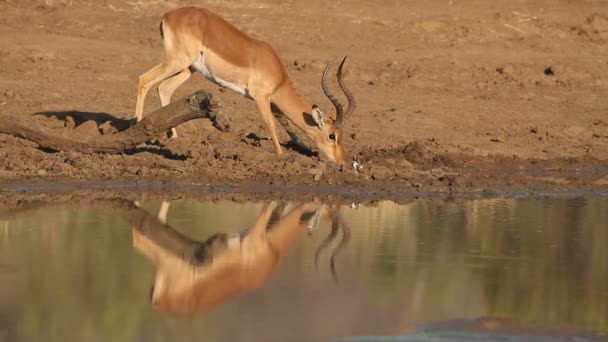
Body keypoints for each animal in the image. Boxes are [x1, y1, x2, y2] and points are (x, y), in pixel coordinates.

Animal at [132, 6, 352, 164]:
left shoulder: (273, 101)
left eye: (342, 136)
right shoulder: (261, 97)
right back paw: (138, 130)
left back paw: (175, 138)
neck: (278, 74)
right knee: (144, 79)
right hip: (177, 61)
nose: (341, 162)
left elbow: (286, 124)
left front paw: (304, 148)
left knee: (164, 87)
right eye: (332, 136)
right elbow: (271, 124)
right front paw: (281, 155)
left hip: (189, 67)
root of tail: (168, 15)